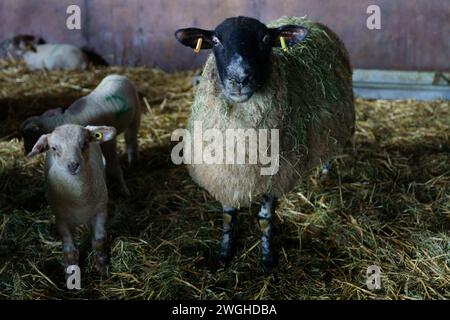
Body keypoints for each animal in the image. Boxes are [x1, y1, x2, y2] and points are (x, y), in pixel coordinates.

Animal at [176, 16, 356, 268]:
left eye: (264, 39)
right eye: (215, 40)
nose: (240, 78)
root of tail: (309, 20)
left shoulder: (274, 176)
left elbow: (264, 219)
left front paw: (267, 258)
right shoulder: (225, 175)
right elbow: (228, 217)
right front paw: (224, 254)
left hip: (335, 126)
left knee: (329, 151)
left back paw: (322, 174)